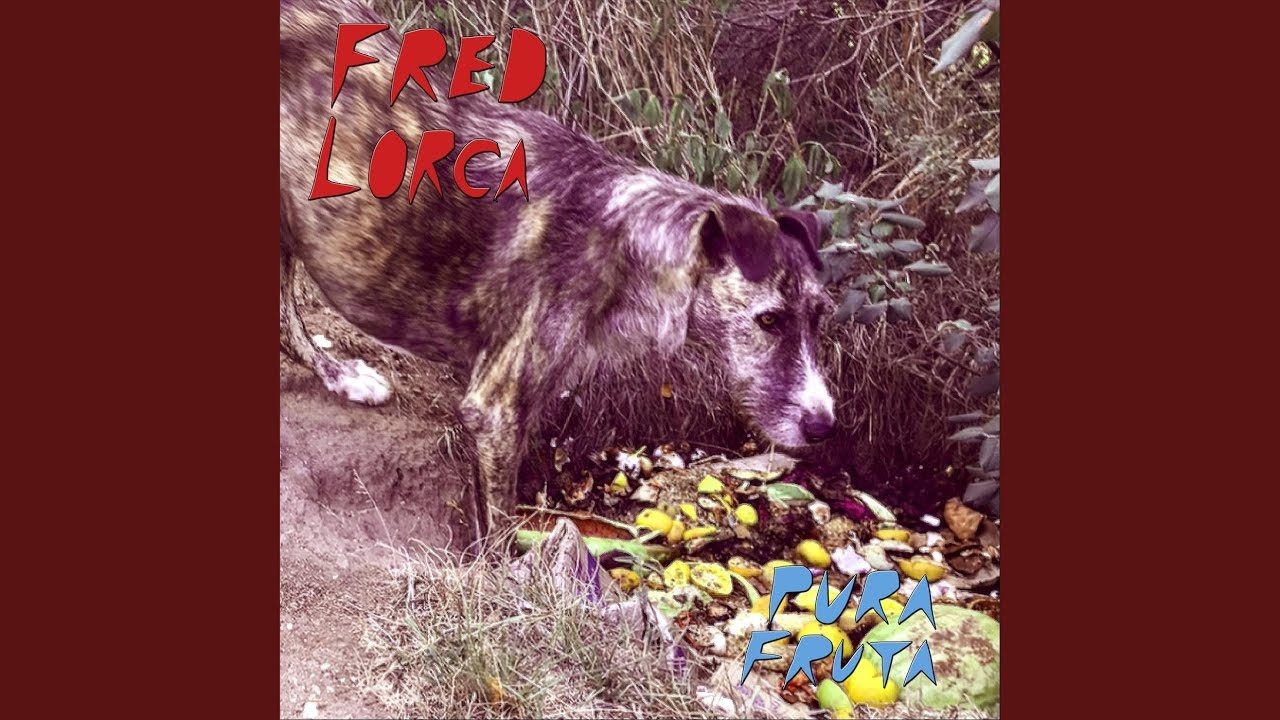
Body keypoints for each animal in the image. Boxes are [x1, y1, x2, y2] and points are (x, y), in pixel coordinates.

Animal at [280, 0, 838, 537]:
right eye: (769, 320)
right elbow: (500, 525)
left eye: (817, 316)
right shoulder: (497, 409)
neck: (622, 236)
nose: (824, 427)